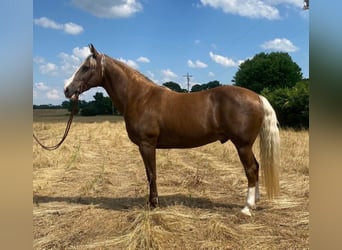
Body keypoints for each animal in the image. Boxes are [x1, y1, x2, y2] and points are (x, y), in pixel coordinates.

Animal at [65, 44, 280, 216]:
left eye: (85, 67)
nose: (67, 89)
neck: (140, 97)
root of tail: (257, 97)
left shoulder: (147, 145)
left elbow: (151, 174)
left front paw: (153, 204)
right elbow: (149, 174)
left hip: (243, 145)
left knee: (251, 170)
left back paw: (247, 207)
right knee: (256, 167)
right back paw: (255, 202)